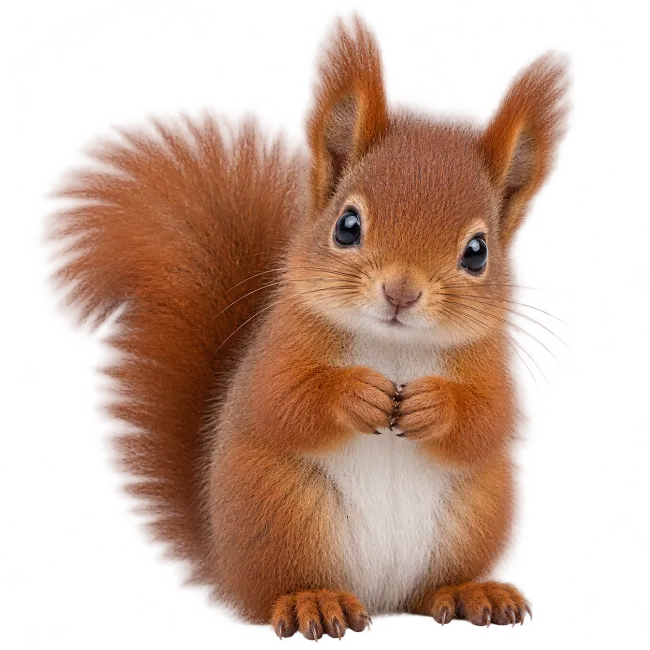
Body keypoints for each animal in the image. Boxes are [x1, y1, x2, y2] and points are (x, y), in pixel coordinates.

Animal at [33, 6, 577, 643]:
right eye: (347, 225)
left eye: (477, 252)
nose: (401, 292)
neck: (392, 345)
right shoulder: (279, 346)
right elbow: (280, 400)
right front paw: (356, 394)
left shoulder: (490, 368)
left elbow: (489, 422)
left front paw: (433, 405)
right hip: (287, 511)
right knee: (279, 585)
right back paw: (312, 602)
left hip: (472, 513)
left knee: (430, 588)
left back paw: (472, 593)